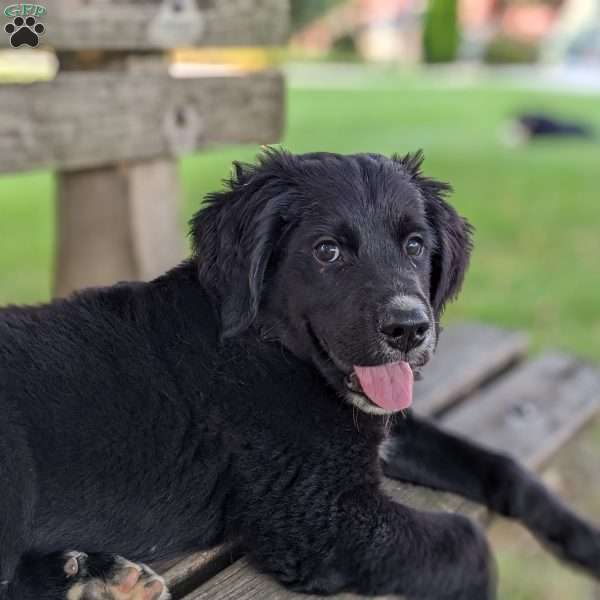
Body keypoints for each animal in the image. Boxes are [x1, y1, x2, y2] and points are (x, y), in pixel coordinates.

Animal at [1, 150, 600, 600]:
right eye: (327, 251)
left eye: (415, 245)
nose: (410, 329)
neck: (272, 349)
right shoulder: (317, 516)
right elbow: (468, 543)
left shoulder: (380, 434)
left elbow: (504, 468)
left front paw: (584, 541)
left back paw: (91, 577)